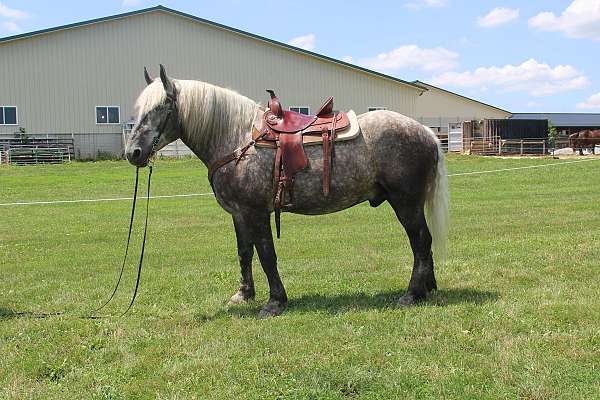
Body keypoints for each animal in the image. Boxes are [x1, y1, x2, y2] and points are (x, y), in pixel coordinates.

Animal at [125, 67, 446, 320]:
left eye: (160, 108)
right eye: (138, 110)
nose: (133, 153)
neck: (238, 140)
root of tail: (427, 132)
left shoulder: (256, 212)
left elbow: (267, 254)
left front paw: (275, 302)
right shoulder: (239, 214)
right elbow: (244, 252)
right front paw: (243, 295)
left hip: (405, 202)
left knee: (420, 241)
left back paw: (412, 294)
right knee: (423, 243)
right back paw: (427, 288)